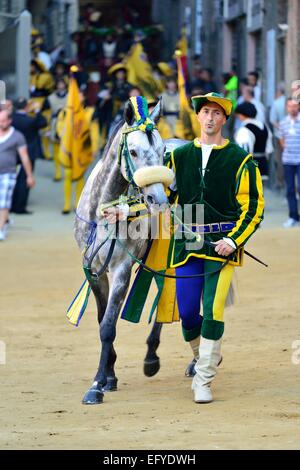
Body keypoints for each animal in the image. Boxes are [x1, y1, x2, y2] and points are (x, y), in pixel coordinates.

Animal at [74, 100, 188, 404]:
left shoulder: (122, 268)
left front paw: (96, 385)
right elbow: (102, 319)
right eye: (133, 151)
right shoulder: (92, 269)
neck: (104, 211)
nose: (158, 198)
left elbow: (108, 325)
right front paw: (109, 377)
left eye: (161, 152)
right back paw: (151, 357)